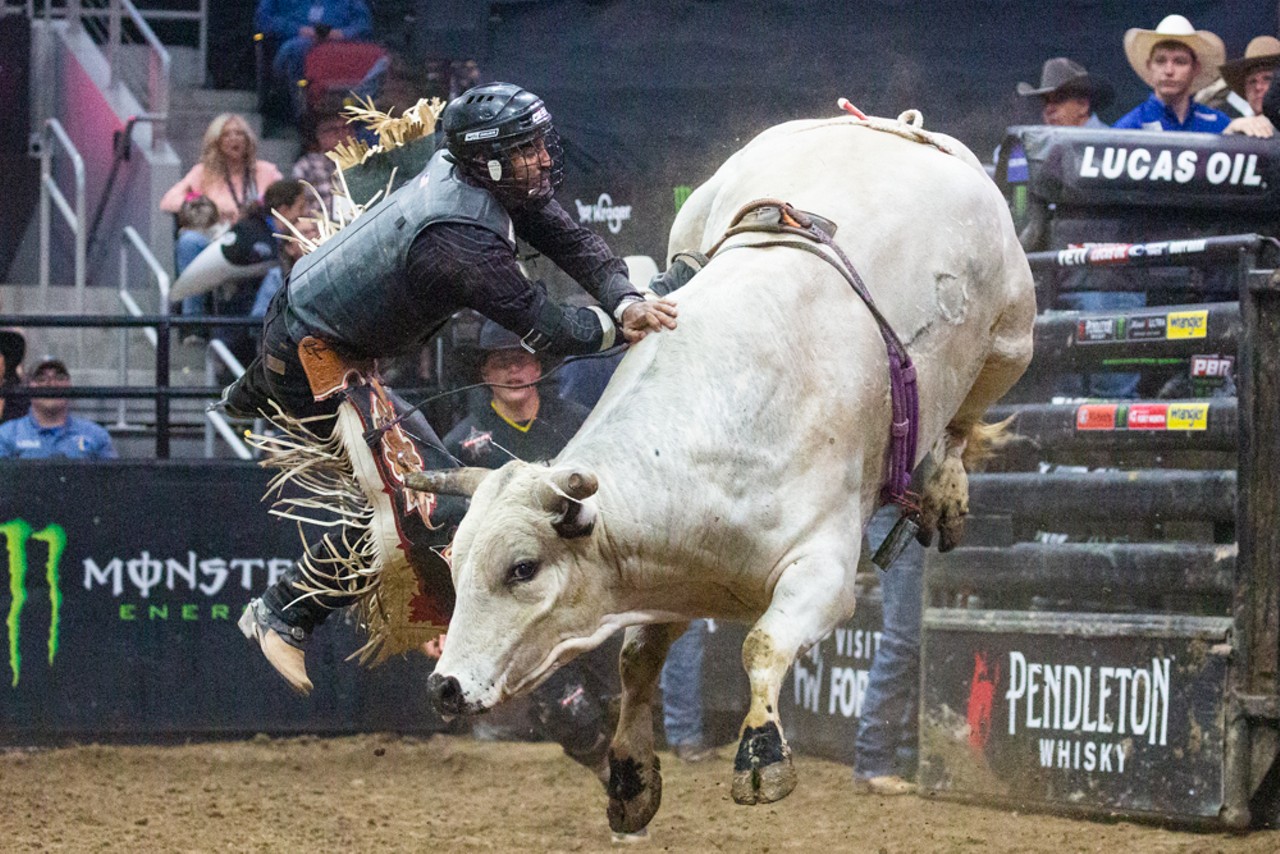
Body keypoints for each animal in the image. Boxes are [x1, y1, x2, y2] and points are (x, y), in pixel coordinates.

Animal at [414, 113, 1034, 834]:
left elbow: (761, 645)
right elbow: (636, 663)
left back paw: (942, 493)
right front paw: (631, 777)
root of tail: (886, 125)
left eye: (522, 568)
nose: (445, 686)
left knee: (964, 418)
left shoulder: (823, 572)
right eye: (454, 565)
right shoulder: (675, 576)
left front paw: (760, 757)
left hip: (1012, 334)